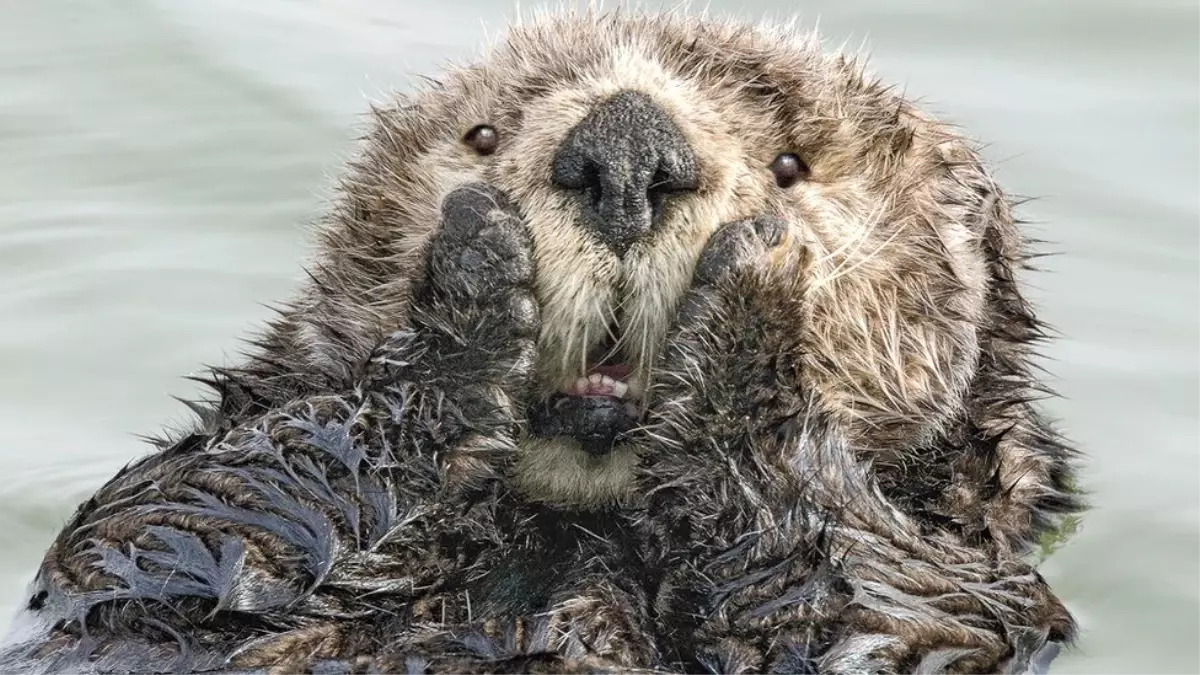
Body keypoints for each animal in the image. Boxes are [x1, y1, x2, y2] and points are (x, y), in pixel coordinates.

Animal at [0, 6, 1084, 672]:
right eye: (483, 136)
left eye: (791, 165)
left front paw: (753, 299)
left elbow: (862, 604)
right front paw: (474, 273)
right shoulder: (136, 557)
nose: (627, 149)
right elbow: (174, 520)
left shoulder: (971, 597)